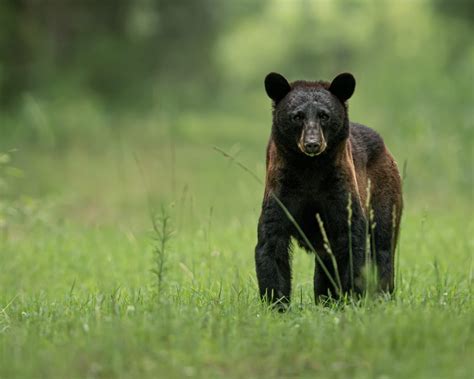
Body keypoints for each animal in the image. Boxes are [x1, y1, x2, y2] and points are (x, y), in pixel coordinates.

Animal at [256, 72, 404, 308]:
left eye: (324, 115)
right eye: (297, 116)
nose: (312, 144)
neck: (310, 169)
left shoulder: (339, 189)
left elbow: (350, 235)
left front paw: (351, 297)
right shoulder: (282, 189)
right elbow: (272, 240)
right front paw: (276, 303)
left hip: (384, 190)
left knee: (383, 242)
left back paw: (381, 295)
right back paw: (325, 299)